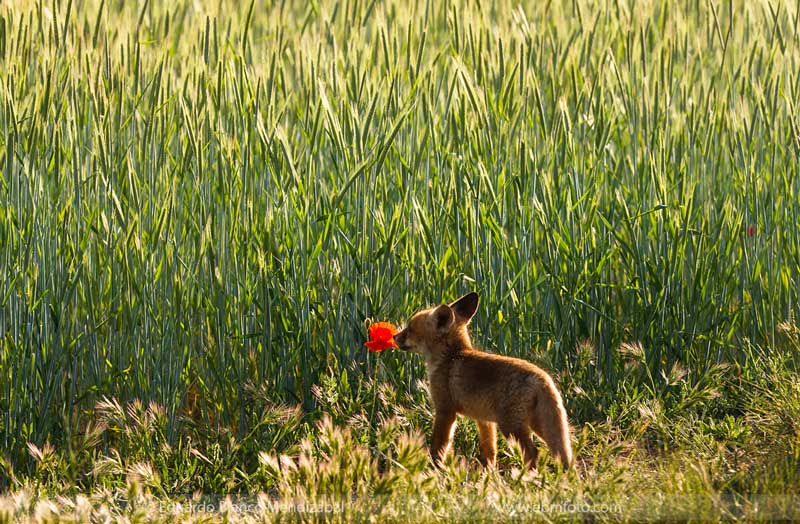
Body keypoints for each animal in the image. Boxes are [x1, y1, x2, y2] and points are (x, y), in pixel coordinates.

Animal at [394, 292, 572, 470]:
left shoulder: (445, 410)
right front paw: (488, 472)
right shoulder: (484, 420)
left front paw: (434, 467)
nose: (394, 336)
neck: (450, 358)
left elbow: (438, 445)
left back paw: (529, 476)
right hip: (537, 425)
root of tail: (543, 378)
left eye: (410, 328)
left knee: (534, 453)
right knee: (559, 451)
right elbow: (489, 450)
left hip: (510, 426)